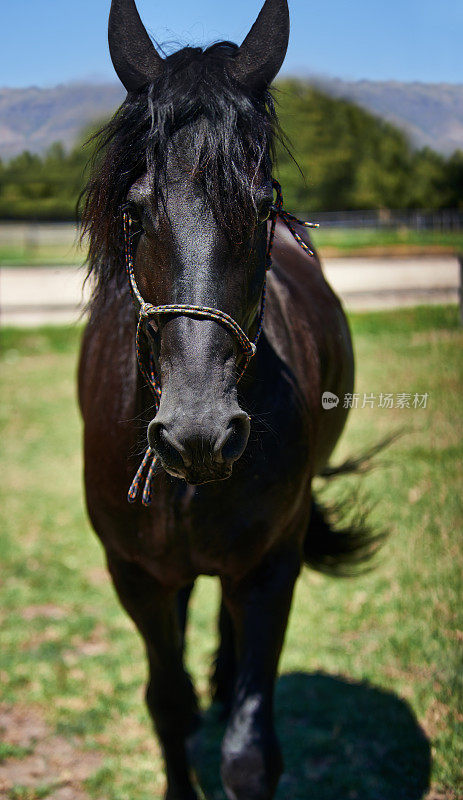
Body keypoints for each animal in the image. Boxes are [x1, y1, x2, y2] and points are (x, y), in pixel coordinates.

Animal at [80, 1, 376, 800]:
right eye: (135, 208)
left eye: (264, 202)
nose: (199, 433)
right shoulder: (133, 573)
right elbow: (166, 704)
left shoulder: (272, 565)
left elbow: (248, 750)